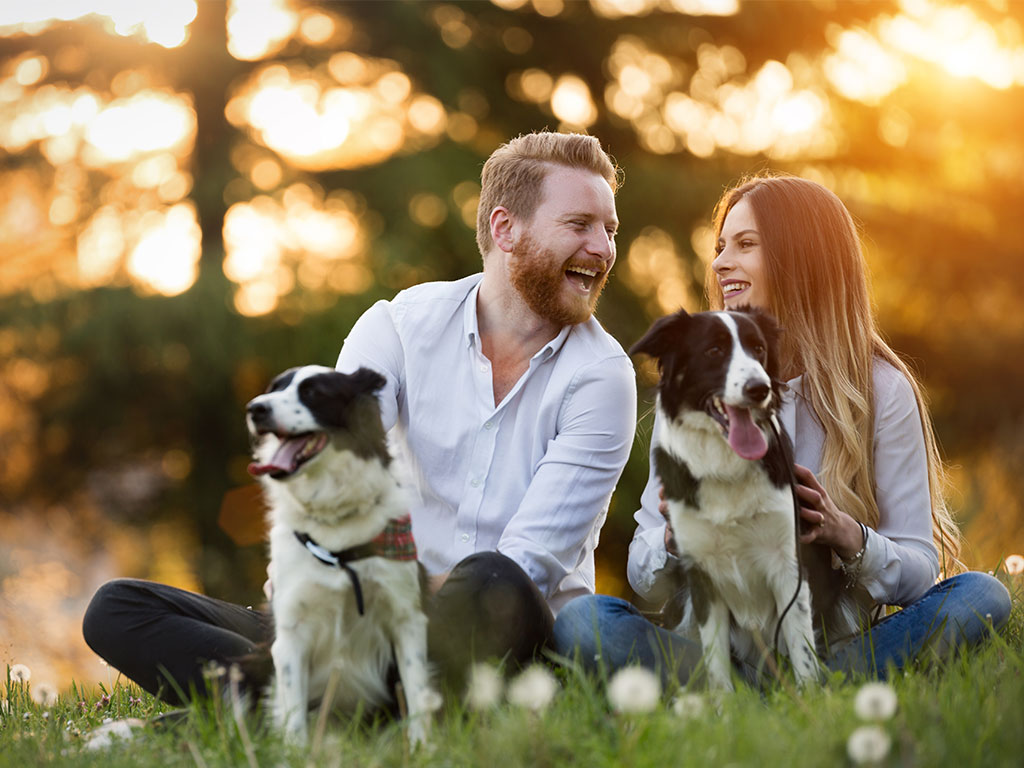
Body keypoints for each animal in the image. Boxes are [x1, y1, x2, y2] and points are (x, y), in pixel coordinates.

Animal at [249, 366, 442, 745]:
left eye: (314, 393)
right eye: (273, 388)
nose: (255, 409)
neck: (334, 523)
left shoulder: (406, 617)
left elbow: (417, 693)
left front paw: (424, 748)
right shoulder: (290, 632)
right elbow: (294, 716)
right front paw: (295, 753)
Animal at [630, 309, 839, 692]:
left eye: (759, 349)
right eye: (714, 350)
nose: (760, 388)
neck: (725, 462)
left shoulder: (788, 563)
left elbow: (802, 653)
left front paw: (812, 700)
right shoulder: (701, 574)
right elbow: (716, 664)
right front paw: (723, 706)